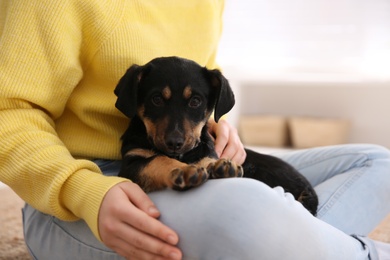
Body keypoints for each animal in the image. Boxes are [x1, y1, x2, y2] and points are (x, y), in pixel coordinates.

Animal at [114, 55, 318, 214]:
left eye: (195, 101)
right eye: (156, 99)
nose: (174, 143)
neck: (182, 155)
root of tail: (309, 191)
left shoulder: (207, 150)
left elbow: (206, 158)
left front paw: (221, 167)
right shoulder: (132, 164)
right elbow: (158, 160)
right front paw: (182, 170)